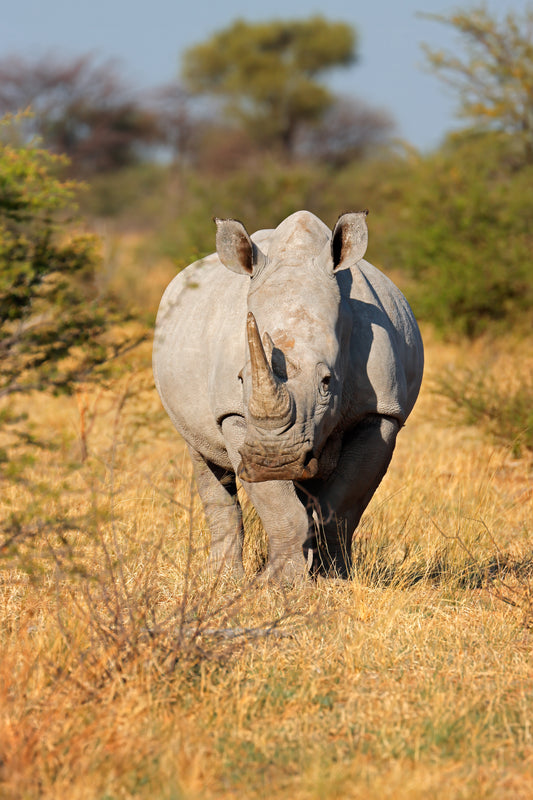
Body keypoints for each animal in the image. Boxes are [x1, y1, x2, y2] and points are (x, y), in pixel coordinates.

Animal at [153, 210, 424, 580]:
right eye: (240, 379)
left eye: (327, 382)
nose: (274, 461)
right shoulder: (236, 417)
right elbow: (278, 506)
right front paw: (281, 583)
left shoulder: (380, 412)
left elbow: (341, 506)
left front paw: (334, 580)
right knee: (204, 458)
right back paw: (223, 580)